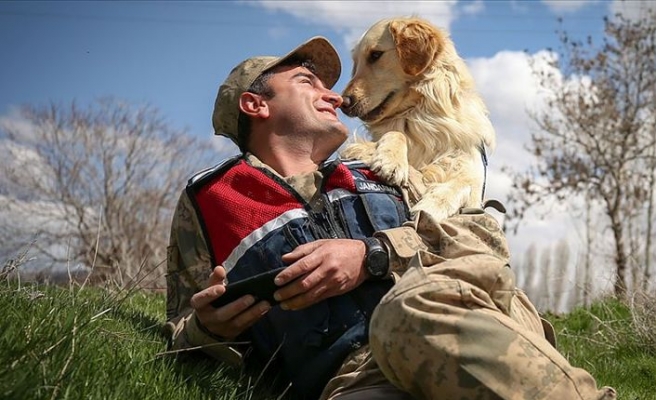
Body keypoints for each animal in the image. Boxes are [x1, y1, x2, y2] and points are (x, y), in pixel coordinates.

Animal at [340, 16, 494, 219]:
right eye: (356, 63)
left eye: (375, 55)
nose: (343, 103)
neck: (419, 115)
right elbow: (397, 134)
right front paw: (392, 161)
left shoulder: (472, 175)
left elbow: (459, 185)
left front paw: (429, 209)